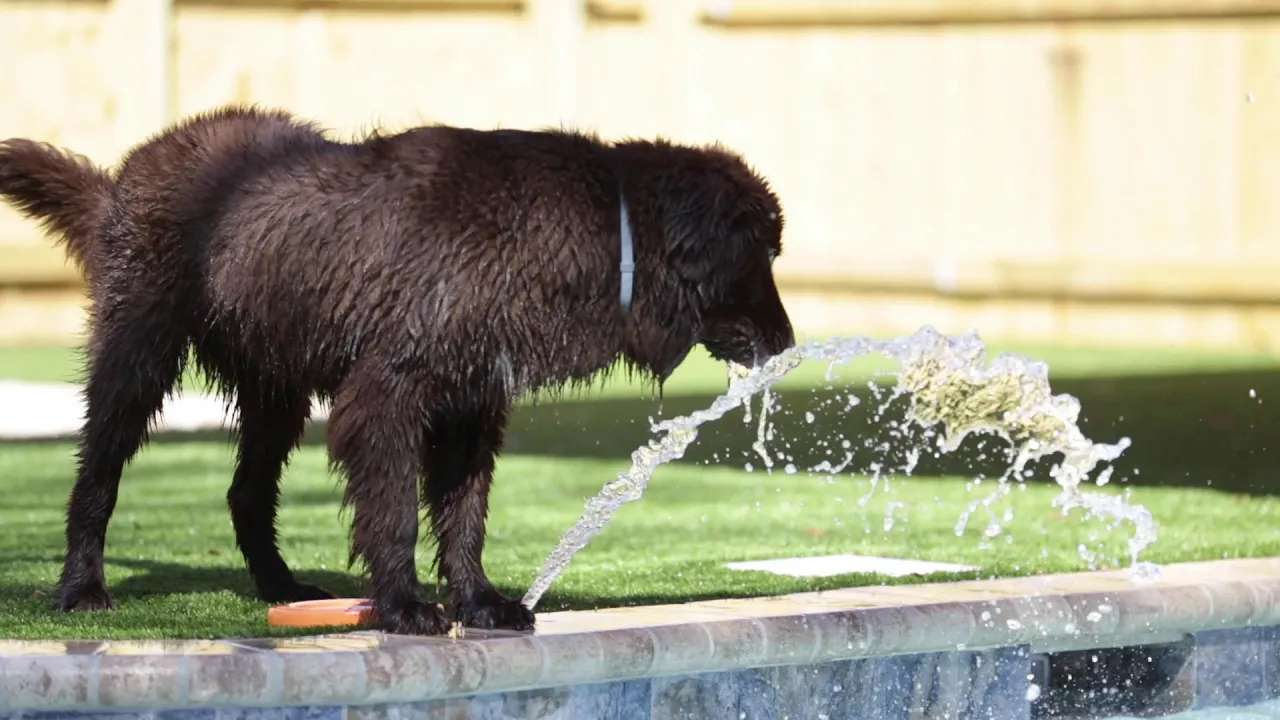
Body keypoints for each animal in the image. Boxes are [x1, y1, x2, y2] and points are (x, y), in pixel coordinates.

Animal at [0, 106, 793, 632]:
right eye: (760, 253)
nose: (789, 343)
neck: (597, 227)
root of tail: (131, 169)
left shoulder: (471, 406)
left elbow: (464, 517)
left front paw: (480, 603)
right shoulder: (387, 394)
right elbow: (396, 515)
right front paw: (406, 606)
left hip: (277, 392)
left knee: (246, 492)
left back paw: (280, 586)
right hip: (138, 356)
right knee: (96, 477)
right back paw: (82, 588)